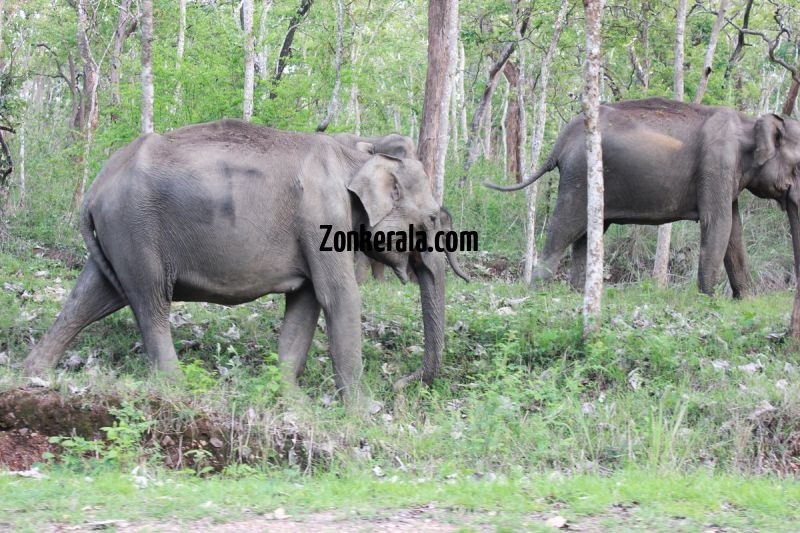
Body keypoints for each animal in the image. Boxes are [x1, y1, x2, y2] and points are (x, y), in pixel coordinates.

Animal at [26, 118, 468, 396]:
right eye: (432, 217)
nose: (400, 385)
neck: (357, 147)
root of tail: (95, 187)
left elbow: (306, 303)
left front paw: (289, 399)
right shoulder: (321, 214)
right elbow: (338, 297)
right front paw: (362, 412)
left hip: (119, 233)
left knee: (92, 296)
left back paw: (34, 375)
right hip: (136, 229)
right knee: (150, 300)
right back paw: (176, 387)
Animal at [484, 97, 800, 298]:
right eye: (798, 167)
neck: (750, 124)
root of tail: (562, 141)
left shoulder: (727, 175)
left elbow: (734, 231)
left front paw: (745, 300)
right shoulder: (717, 164)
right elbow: (717, 225)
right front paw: (707, 301)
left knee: (587, 234)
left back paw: (577, 294)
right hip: (580, 176)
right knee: (564, 228)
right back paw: (536, 292)